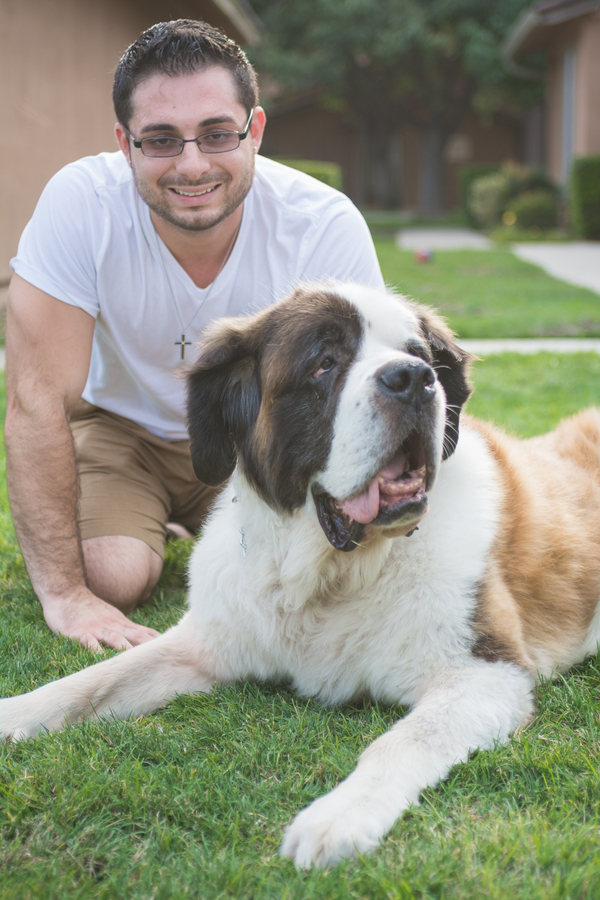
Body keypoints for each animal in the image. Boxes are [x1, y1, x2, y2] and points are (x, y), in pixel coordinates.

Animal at [1, 282, 600, 864]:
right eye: (324, 363)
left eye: (418, 355)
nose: (413, 379)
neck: (324, 576)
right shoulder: (205, 642)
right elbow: (92, 681)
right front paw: (14, 713)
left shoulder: (486, 673)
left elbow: (403, 741)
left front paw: (336, 819)